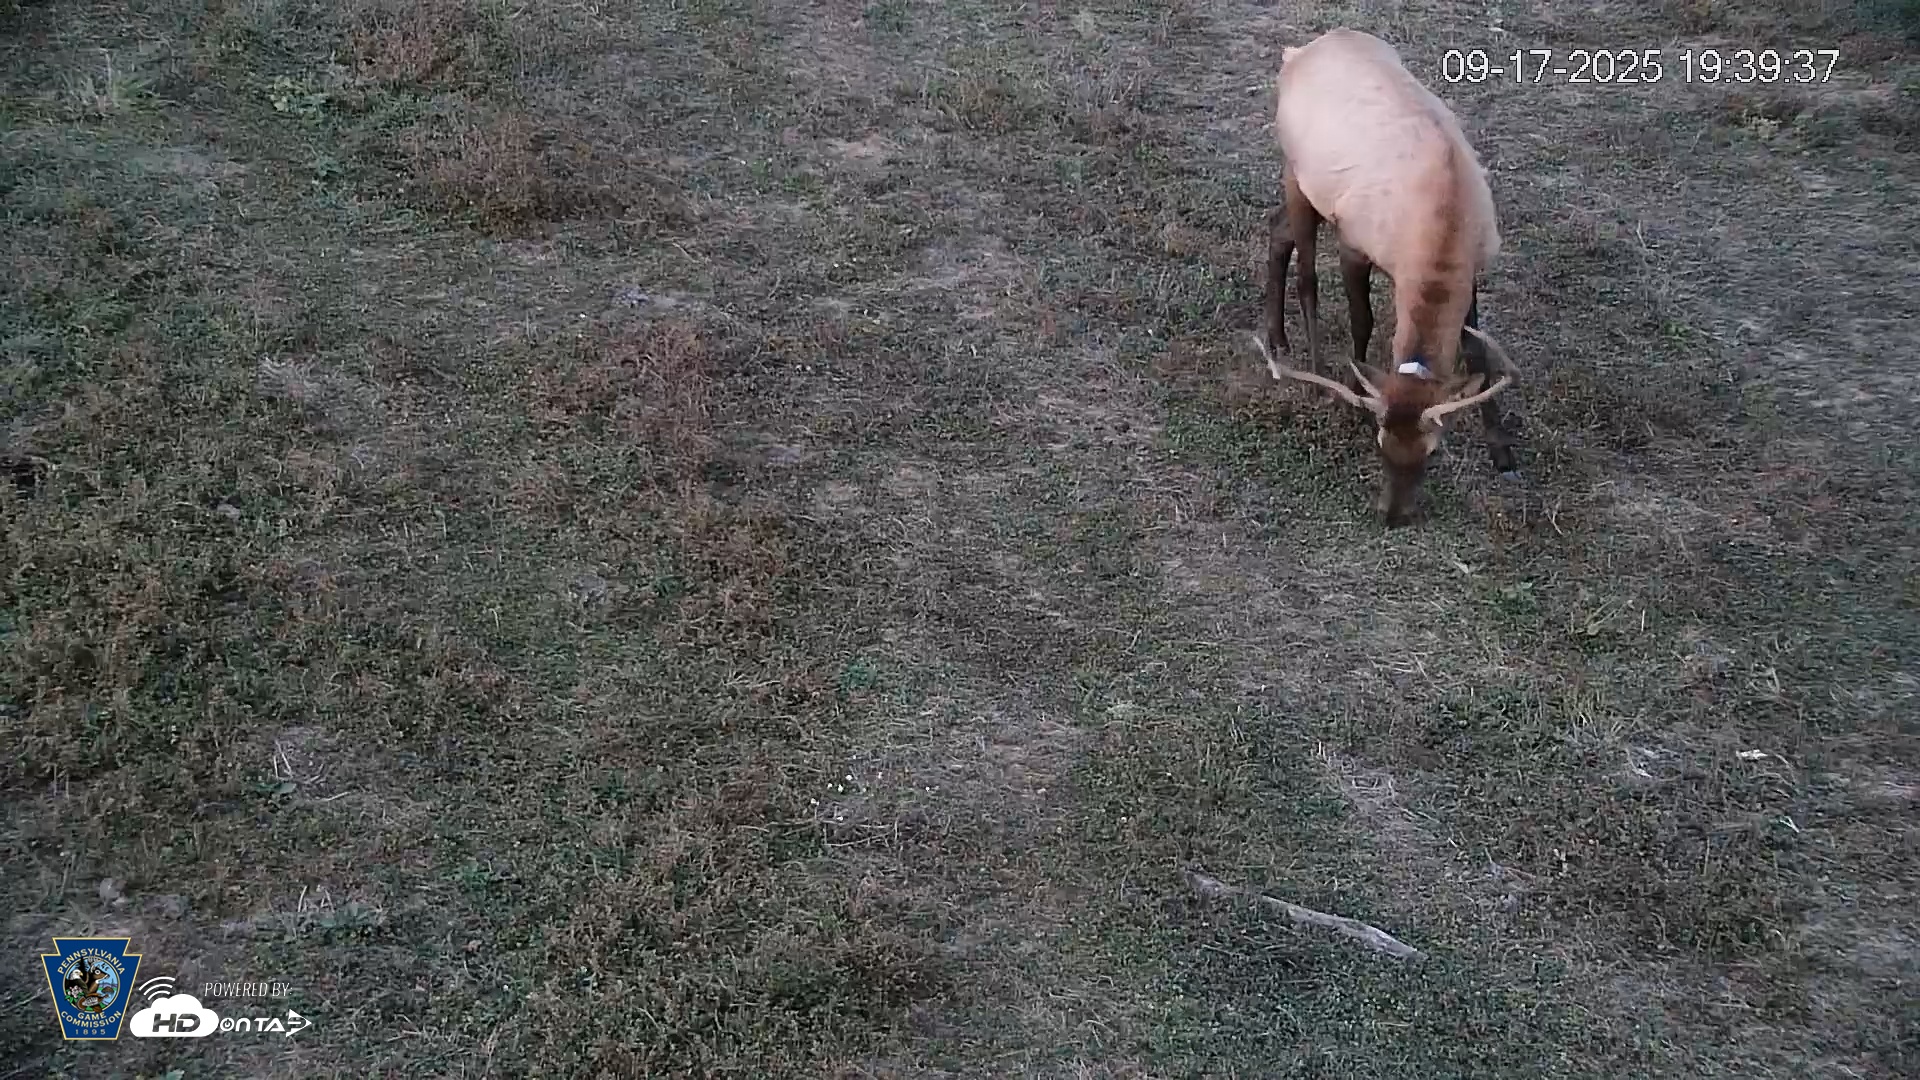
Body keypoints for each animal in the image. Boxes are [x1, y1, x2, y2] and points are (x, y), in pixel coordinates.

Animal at [1256, 28, 1522, 526]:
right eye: (1380, 446)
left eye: (1432, 452)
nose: (1393, 515)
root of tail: (1297, 52)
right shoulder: (1354, 243)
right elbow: (1362, 323)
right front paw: (1352, 393)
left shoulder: (1474, 268)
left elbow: (1476, 350)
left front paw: (1502, 451)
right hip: (1296, 172)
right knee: (1306, 273)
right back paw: (1312, 367)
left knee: (1276, 229)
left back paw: (1277, 338)